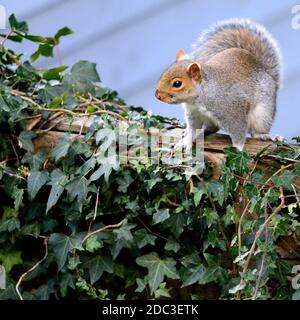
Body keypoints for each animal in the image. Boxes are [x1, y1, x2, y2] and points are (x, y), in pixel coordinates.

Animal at [155, 18, 284, 151]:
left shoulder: (233, 111)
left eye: (177, 83)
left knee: (256, 131)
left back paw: (265, 135)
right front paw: (185, 141)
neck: (199, 98)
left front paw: (237, 150)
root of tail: (265, 71)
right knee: (212, 128)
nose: (157, 95)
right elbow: (192, 129)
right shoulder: (194, 114)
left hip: (263, 113)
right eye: (164, 73)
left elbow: (239, 133)